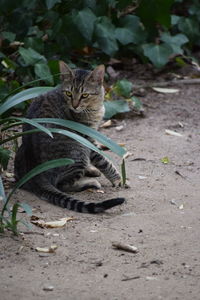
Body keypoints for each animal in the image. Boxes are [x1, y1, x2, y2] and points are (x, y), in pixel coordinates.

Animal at [14, 61, 125, 213]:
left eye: (85, 95)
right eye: (69, 93)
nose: (75, 105)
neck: (94, 107)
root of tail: (34, 171)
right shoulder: (87, 138)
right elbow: (103, 159)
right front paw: (118, 179)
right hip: (77, 151)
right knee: (63, 185)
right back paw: (89, 182)